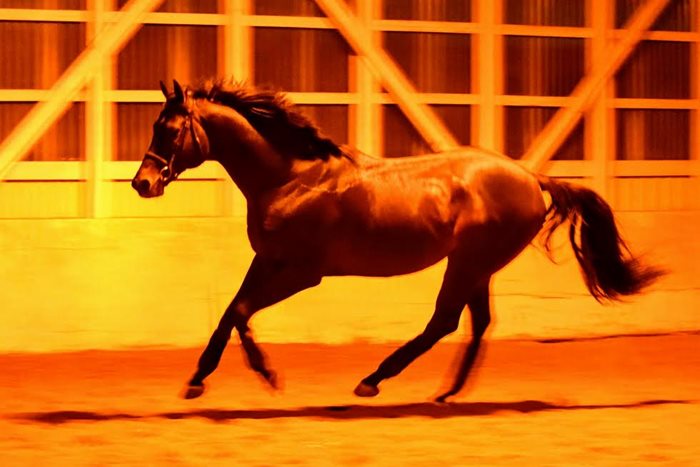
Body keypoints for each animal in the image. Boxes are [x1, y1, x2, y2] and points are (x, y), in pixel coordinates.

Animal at [132, 79, 663, 403]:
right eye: (156, 126)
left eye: (171, 129)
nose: (143, 183)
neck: (290, 177)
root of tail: (531, 177)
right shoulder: (266, 261)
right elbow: (230, 312)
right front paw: (197, 380)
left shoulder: (303, 272)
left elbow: (242, 312)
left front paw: (267, 376)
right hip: (476, 266)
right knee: (476, 323)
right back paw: (446, 394)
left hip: (468, 262)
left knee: (444, 322)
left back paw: (372, 382)